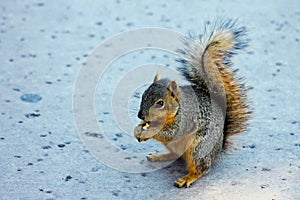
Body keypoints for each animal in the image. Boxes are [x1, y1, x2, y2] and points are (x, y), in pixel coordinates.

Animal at [134, 18, 251, 188]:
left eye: (160, 103)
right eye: (143, 95)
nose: (140, 115)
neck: (177, 108)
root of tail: (219, 148)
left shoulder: (186, 120)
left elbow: (171, 133)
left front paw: (148, 131)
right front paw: (138, 128)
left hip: (199, 148)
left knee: (201, 169)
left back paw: (187, 178)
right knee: (175, 155)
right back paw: (159, 156)